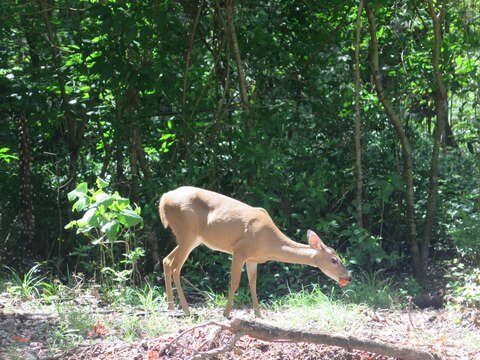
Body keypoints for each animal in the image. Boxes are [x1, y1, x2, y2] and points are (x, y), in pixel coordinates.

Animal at [159, 187, 350, 316]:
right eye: (334, 259)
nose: (348, 277)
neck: (269, 243)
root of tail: (164, 198)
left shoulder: (253, 258)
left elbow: (253, 283)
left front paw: (259, 314)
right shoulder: (239, 250)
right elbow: (234, 282)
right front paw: (226, 313)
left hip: (192, 239)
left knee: (166, 260)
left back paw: (170, 306)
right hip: (187, 231)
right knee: (176, 267)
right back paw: (186, 310)